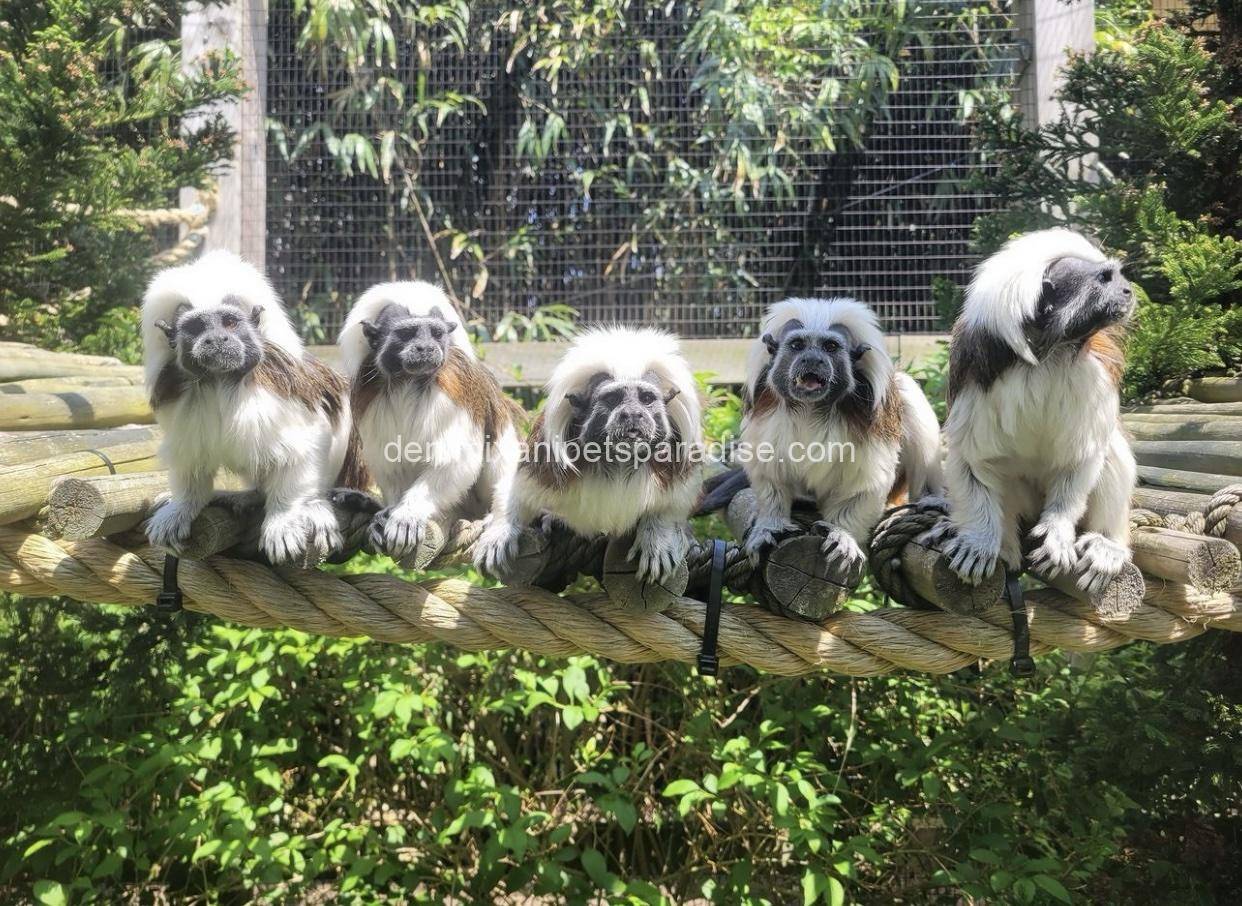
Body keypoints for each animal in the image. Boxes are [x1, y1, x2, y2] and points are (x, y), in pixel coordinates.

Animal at [141, 250, 364, 563]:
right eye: (197, 328)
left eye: (230, 323)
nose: (216, 340)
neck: (221, 382)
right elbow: (191, 462)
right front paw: (181, 507)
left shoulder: (279, 399)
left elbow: (305, 445)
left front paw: (285, 517)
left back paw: (315, 503)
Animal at [338, 281, 524, 559]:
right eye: (407, 333)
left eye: (436, 333)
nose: (425, 348)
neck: (408, 381)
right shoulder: (369, 393)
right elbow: (390, 461)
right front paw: (388, 512)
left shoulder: (455, 387)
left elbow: (456, 461)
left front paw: (407, 514)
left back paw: (496, 520)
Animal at [472, 327, 704, 585]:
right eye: (613, 399)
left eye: (646, 399)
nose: (632, 414)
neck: (618, 463)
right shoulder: (547, 464)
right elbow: (514, 486)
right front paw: (500, 530)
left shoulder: (675, 459)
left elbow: (678, 498)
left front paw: (658, 537)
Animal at [710, 297, 944, 574]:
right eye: (798, 345)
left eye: (830, 347)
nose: (812, 359)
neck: (811, 409)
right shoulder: (764, 415)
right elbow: (770, 476)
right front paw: (770, 524)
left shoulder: (873, 423)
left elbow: (865, 486)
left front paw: (842, 533)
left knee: (909, 393)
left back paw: (930, 497)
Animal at [936, 228, 1137, 595]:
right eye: (1105, 279)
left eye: (1117, 276)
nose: (1128, 291)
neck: (1049, 353)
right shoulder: (977, 384)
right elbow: (972, 461)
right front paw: (980, 540)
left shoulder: (1094, 377)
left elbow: (1081, 457)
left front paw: (1057, 531)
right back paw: (1004, 546)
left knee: (1110, 446)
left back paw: (1106, 543)